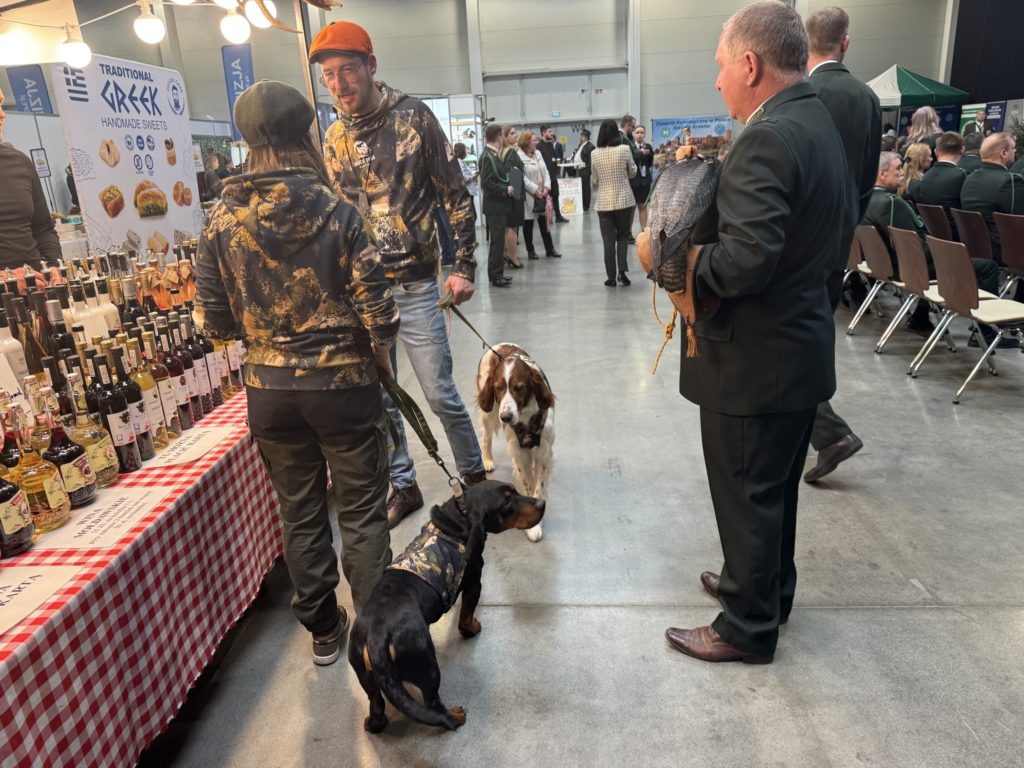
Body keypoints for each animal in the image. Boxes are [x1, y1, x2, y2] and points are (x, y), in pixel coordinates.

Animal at [349, 480, 545, 733]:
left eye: (515, 491)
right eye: (506, 502)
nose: (542, 503)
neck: (459, 517)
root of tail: (376, 635)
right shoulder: (474, 584)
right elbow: (466, 615)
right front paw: (471, 629)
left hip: (365, 676)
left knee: (376, 705)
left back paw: (374, 723)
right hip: (427, 665)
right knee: (433, 704)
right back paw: (455, 715)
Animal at [477, 343, 555, 542]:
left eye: (518, 388)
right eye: (498, 388)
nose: (506, 417)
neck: (526, 418)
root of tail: (500, 345)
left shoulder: (543, 451)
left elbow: (539, 484)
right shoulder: (521, 452)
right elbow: (529, 483)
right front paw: (533, 523)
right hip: (489, 413)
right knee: (486, 437)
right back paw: (487, 460)